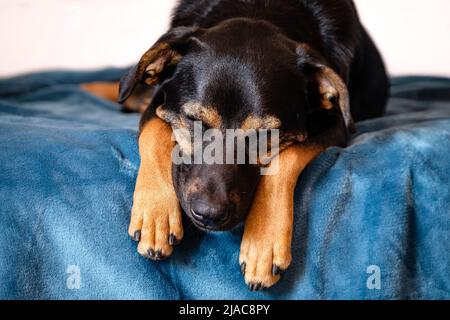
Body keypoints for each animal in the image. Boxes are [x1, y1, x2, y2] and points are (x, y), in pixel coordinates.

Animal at [82, 0, 388, 290]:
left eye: (265, 134)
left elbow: (285, 160)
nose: (208, 215)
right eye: (194, 119)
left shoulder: (335, 125)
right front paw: (156, 214)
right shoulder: (160, 101)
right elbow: (154, 133)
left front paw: (264, 240)